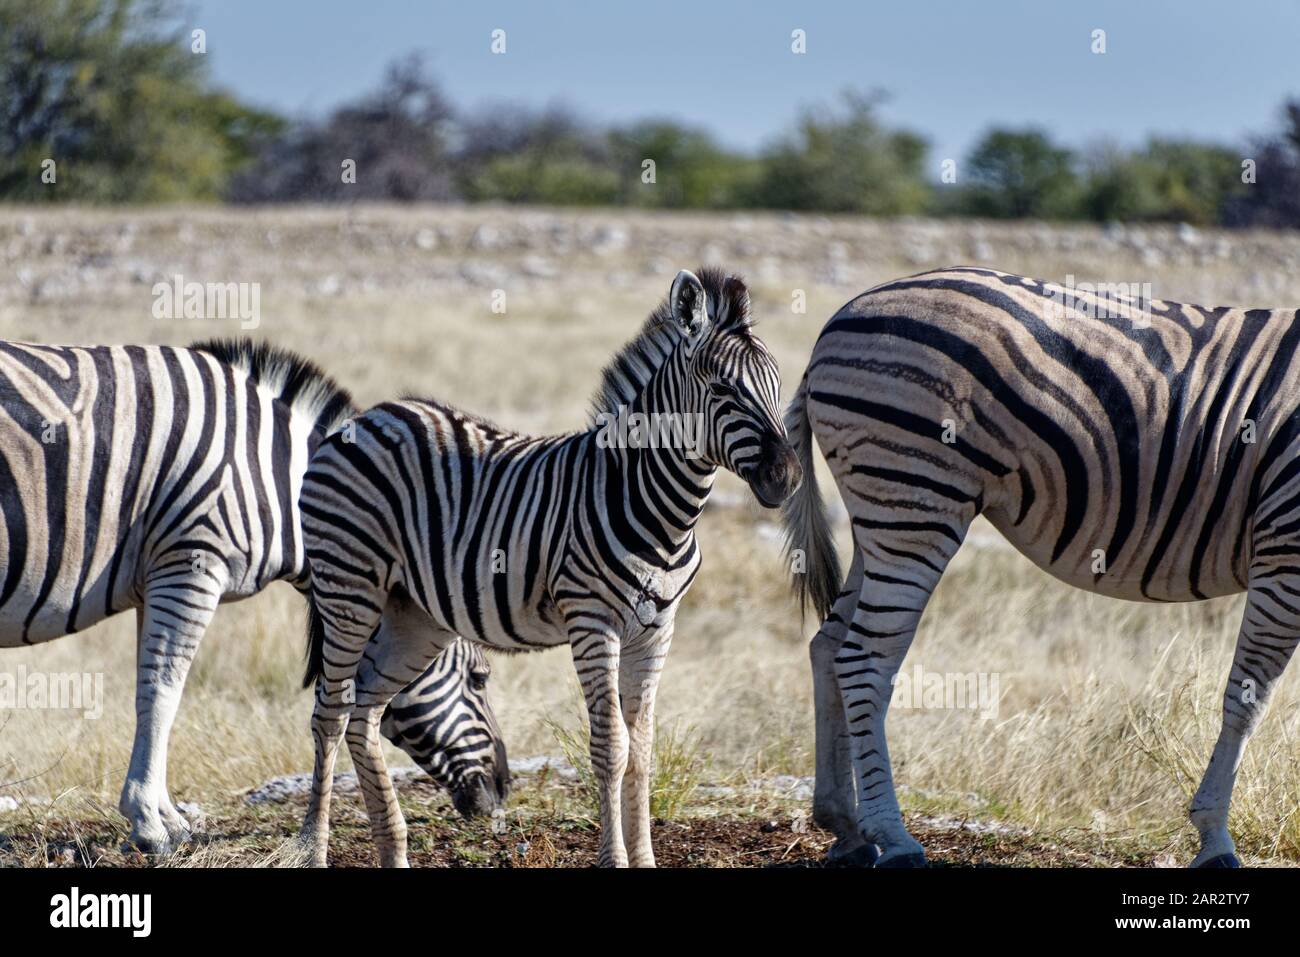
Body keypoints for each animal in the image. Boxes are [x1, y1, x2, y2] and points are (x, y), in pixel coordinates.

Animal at [0, 338, 504, 852]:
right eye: (479, 678)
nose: (501, 792)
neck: (275, 477)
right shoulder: (192, 562)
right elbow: (165, 690)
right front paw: (148, 822)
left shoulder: (157, 576)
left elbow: (150, 690)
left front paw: (169, 818)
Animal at [297, 269, 795, 868]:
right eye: (722, 390)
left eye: (778, 386)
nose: (787, 478)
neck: (657, 507)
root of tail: (368, 417)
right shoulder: (593, 621)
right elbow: (612, 747)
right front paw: (614, 859)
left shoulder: (657, 629)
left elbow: (644, 749)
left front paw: (644, 858)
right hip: (348, 586)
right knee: (331, 713)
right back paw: (314, 849)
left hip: (414, 615)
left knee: (366, 713)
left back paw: (393, 849)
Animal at [780, 267, 1300, 868]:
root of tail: (836, 321)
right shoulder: (1286, 549)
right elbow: (1248, 699)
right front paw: (1214, 838)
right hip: (915, 495)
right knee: (863, 660)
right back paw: (893, 835)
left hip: (882, 510)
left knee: (829, 645)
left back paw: (844, 826)